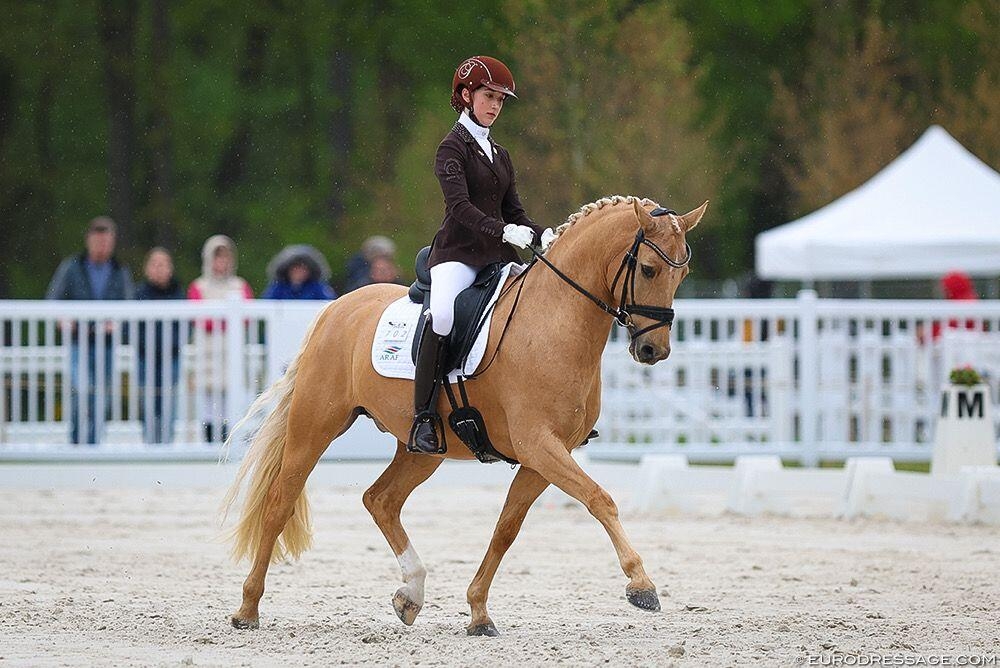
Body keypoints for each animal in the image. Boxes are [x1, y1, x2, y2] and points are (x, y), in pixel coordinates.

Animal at [221, 194, 704, 636]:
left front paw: (478, 612)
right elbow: (600, 499)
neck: (555, 319)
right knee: (279, 503)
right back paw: (247, 609)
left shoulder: (544, 456)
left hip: (422, 448)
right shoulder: (539, 444)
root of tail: (336, 308)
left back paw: (411, 594)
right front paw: (642, 585)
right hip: (316, 423)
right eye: (648, 269)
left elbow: (507, 528)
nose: (653, 350)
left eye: (682, 273)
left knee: (381, 500)